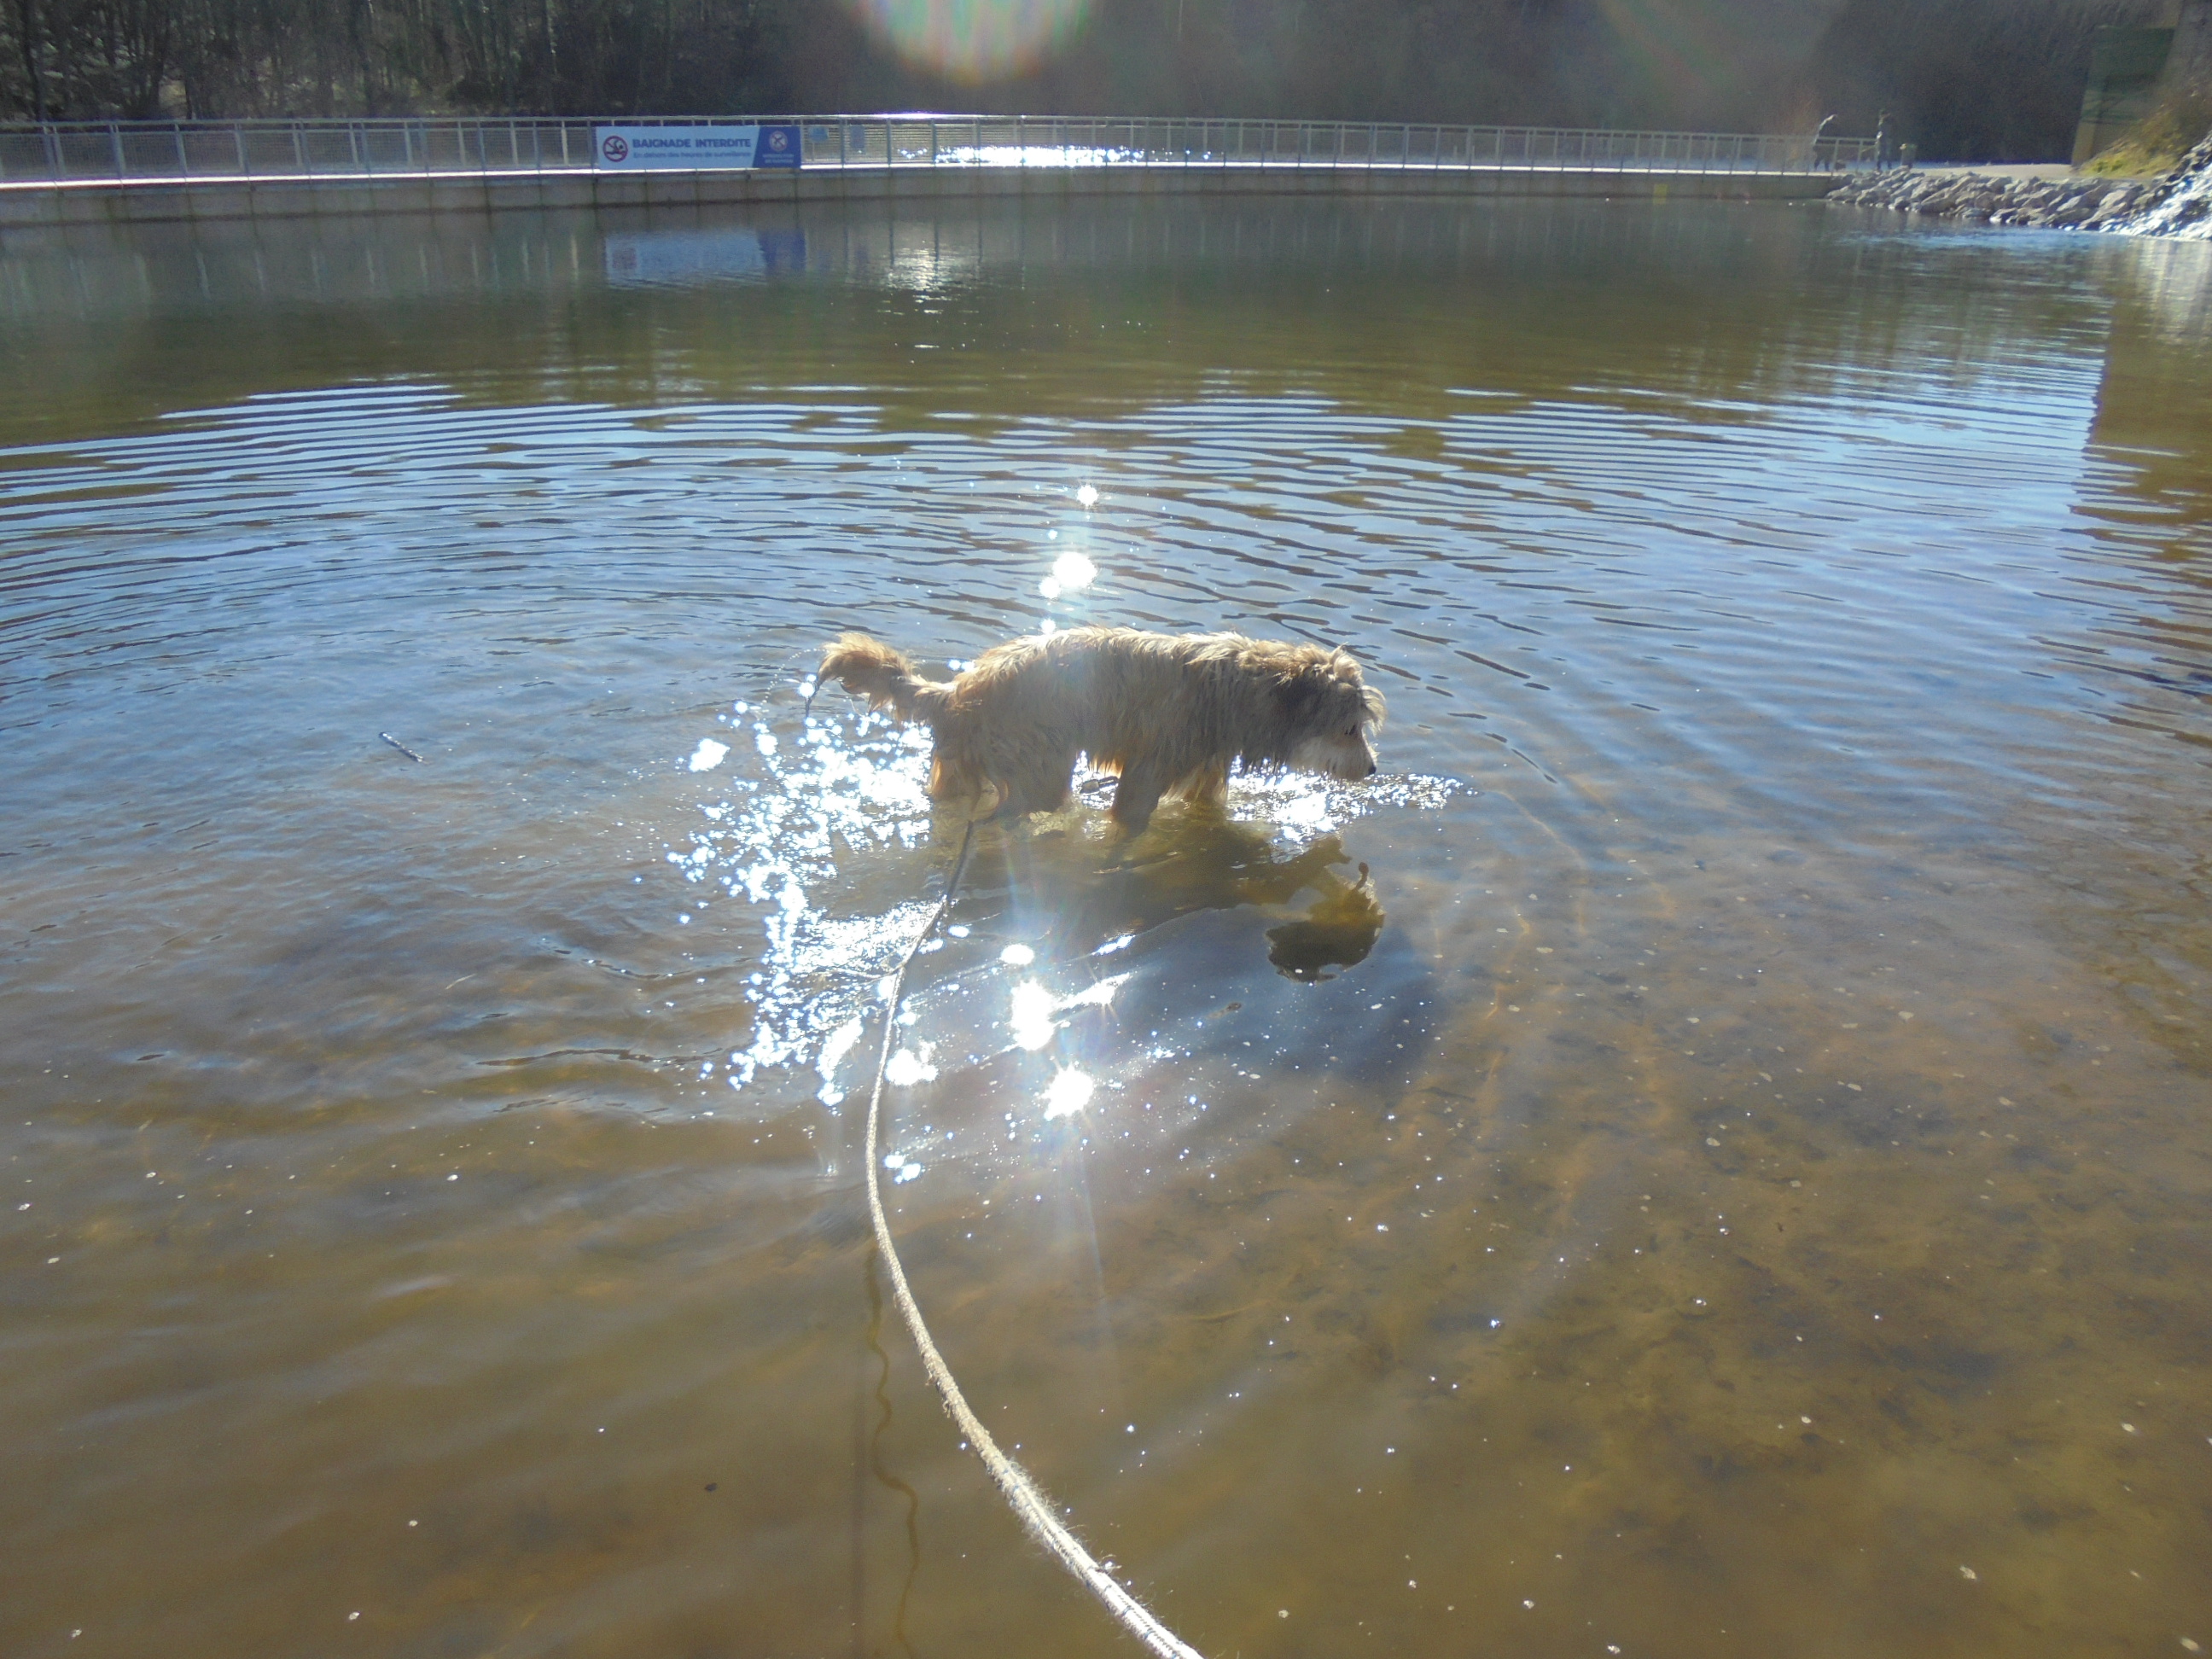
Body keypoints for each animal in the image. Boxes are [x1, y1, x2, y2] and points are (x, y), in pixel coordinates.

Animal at [815, 626, 1384, 834]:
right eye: (1350, 728)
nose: (1375, 769)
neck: (1238, 690)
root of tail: (958, 691)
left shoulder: (1205, 772)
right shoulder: (1147, 772)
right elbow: (1130, 817)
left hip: (962, 770)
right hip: (1040, 771)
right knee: (1003, 816)